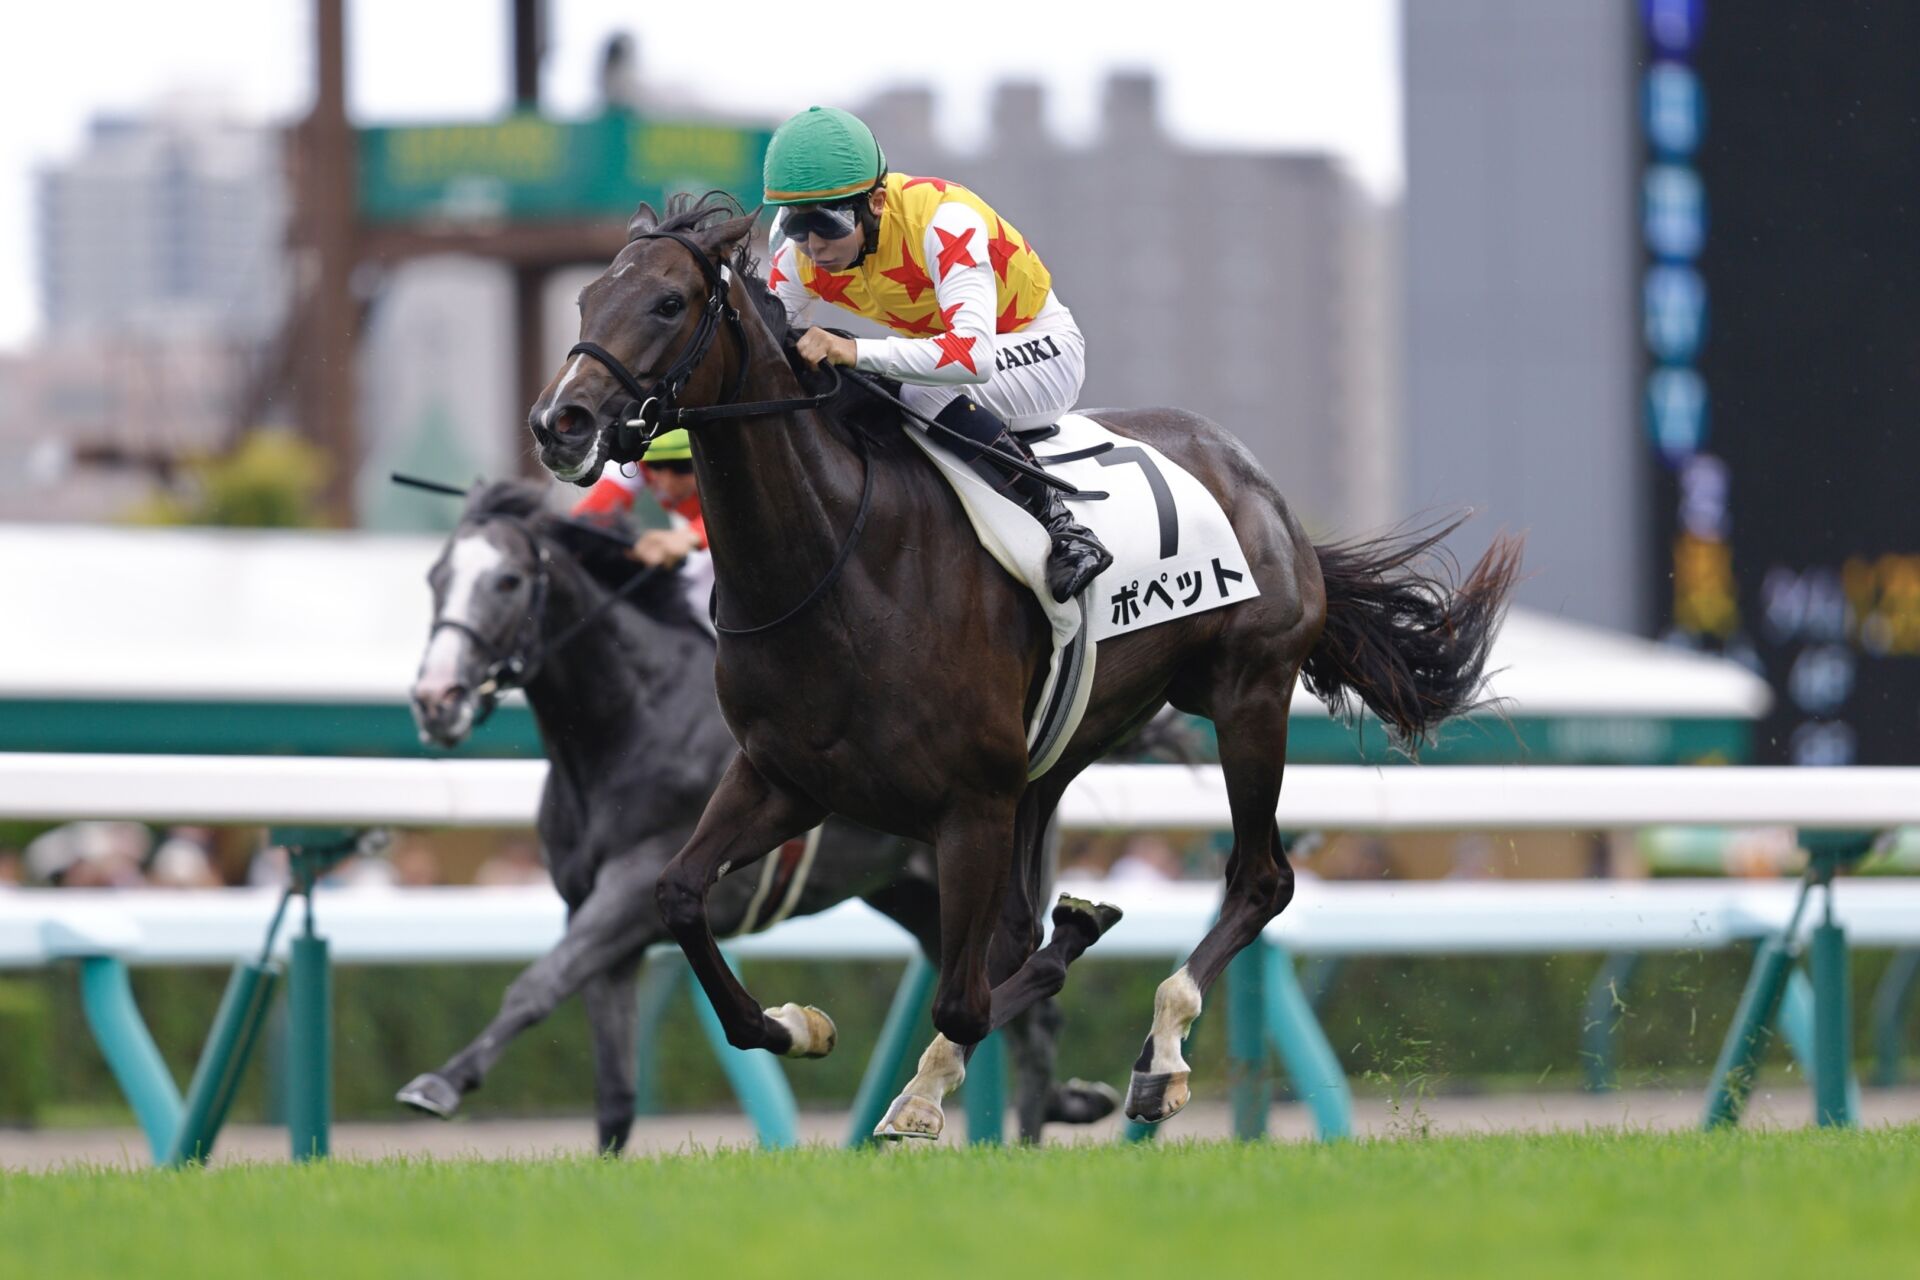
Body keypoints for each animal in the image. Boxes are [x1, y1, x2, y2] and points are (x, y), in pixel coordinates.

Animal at [398, 481, 1120, 1148]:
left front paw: (439, 1082)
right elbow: (615, 1090)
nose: (436, 699)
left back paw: (1026, 1126)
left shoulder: (628, 891)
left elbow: (536, 984)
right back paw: (1061, 1104)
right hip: (914, 895)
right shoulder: (597, 918)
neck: (631, 722)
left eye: (508, 580)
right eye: (436, 578)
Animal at [527, 193, 1522, 1139]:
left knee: (1259, 879)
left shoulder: (969, 803)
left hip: (1248, 695)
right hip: (1062, 748)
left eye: (668, 302)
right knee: (1028, 928)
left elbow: (963, 1001)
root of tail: (1256, 481)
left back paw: (1161, 1051)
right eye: (585, 298)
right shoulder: (784, 779)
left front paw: (935, 1083)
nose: (558, 422)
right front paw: (798, 1025)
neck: (838, 565)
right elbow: (680, 900)